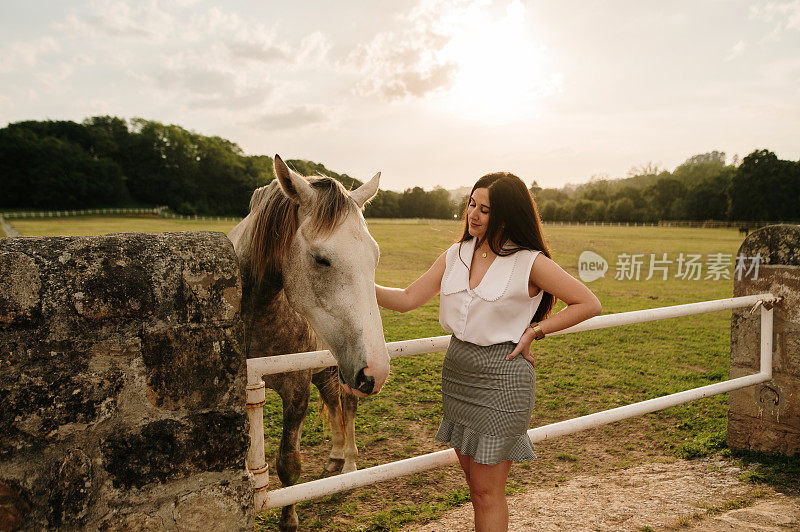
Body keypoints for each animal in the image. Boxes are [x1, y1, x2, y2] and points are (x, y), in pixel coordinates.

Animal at [227, 155, 390, 532]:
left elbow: (289, 465)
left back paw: (349, 465)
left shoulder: (296, 388)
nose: (376, 370)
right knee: (332, 400)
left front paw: (289, 521)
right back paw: (334, 458)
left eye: (374, 257)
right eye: (320, 259)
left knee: (347, 405)